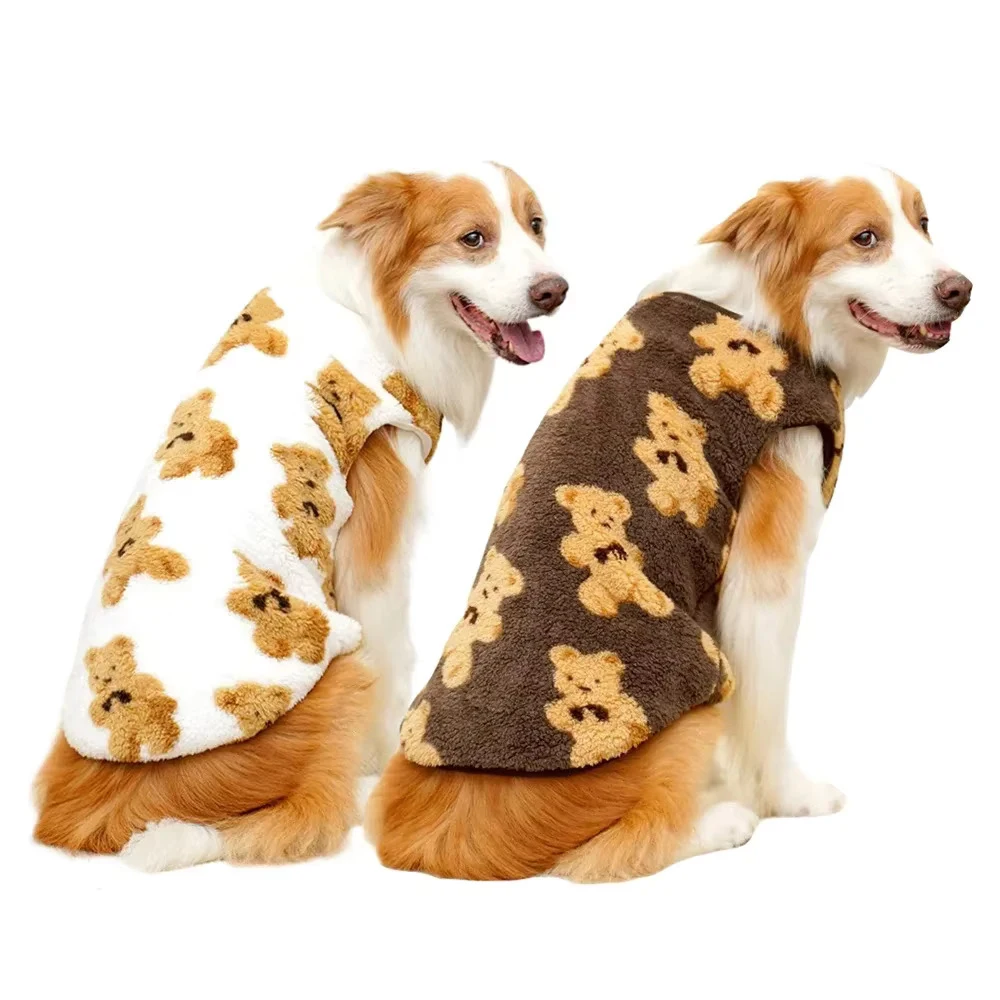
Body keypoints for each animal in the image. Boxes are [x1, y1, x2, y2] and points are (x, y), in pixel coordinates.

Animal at [555, 484, 673, 619]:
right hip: (599, 588)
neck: (606, 537)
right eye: (593, 511)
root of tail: (627, 596)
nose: (605, 523)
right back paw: (607, 609)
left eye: (611, 518)